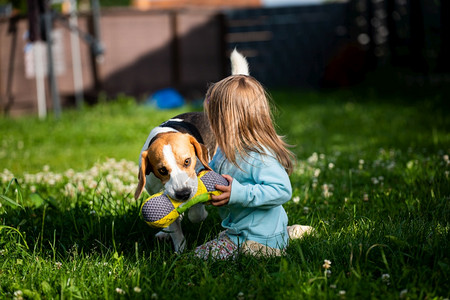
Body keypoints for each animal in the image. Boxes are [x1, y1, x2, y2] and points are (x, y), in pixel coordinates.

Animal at [135, 111, 216, 252]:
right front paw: (180, 251)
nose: (183, 194)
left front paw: (201, 213)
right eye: (162, 170)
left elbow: (196, 213)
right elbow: (174, 227)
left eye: (187, 161)